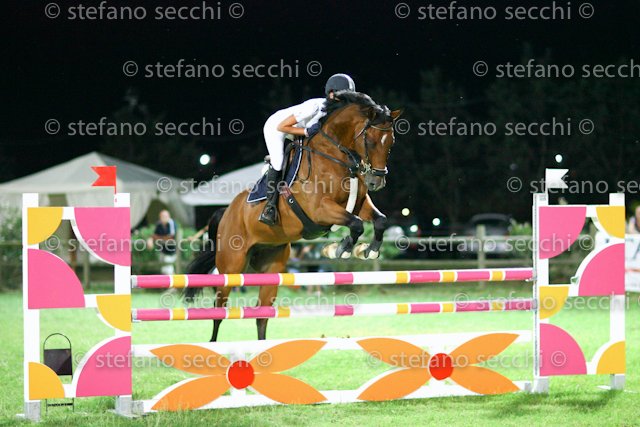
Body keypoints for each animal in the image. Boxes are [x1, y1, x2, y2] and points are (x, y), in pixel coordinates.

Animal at [186, 92, 402, 341]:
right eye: (370, 141)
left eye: (391, 142)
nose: (377, 181)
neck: (335, 155)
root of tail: (227, 211)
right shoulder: (320, 210)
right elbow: (356, 225)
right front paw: (340, 248)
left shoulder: (358, 204)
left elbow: (380, 220)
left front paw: (369, 250)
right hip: (231, 266)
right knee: (218, 309)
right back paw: (213, 344)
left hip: (271, 267)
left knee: (262, 315)